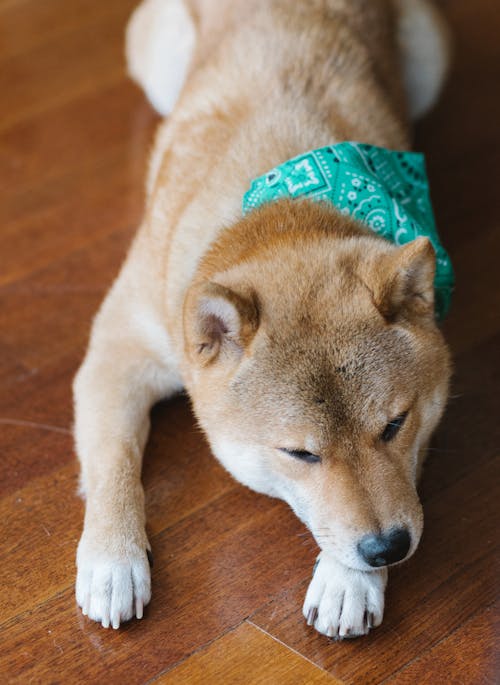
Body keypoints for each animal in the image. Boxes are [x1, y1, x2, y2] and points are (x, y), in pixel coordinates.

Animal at [74, 0, 454, 636]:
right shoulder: (118, 350)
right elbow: (113, 460)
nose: (387, 549)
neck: (282, 207)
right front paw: (112, 558)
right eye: (301, 454)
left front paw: (349, 581)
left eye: (395, 425)